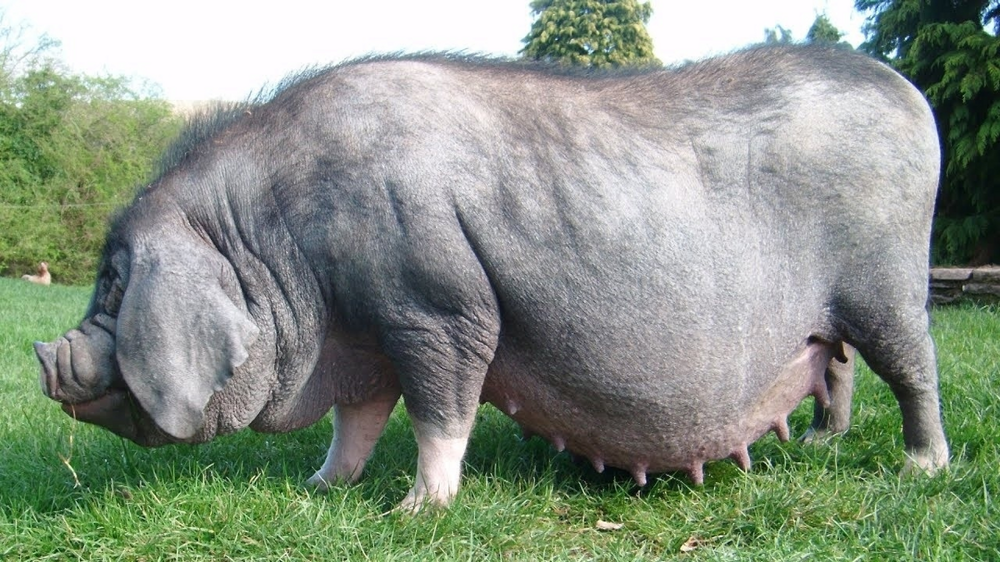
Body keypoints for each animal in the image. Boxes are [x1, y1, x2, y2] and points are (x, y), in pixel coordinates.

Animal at [36, 45, 949, 510]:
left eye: (113, 286)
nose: (44, 356)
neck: (268, 245)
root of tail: (910, 94)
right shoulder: (364, 334)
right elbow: (356, 420)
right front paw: (314, 488)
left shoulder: (434, 305)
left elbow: (442, 406)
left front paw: (417, 511)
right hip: (829, 312)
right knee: (834, 365)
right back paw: (826, 446)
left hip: (886, 279)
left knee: (914, 367)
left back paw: (922, 468)